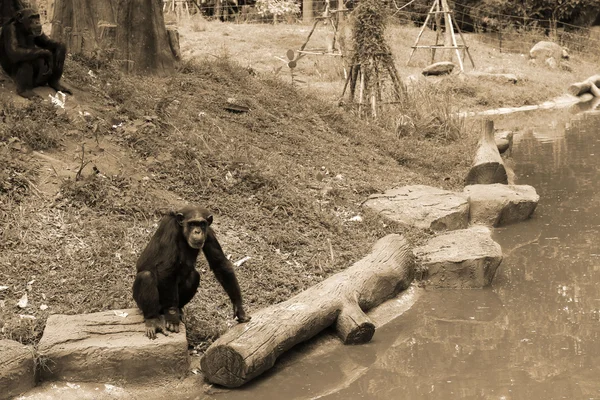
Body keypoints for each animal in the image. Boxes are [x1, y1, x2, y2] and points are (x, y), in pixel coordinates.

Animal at [134, 205, 251, 340]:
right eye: (192, 224)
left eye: (201, 224)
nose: (197, 231)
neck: (182, 232)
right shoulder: (170, 229)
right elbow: (166, 268)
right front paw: (172, 316)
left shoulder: (209, 233)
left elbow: (220, 264)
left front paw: (239, 308)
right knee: (146, 276)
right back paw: (153, 320)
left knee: (194, 276)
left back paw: (179, 310)